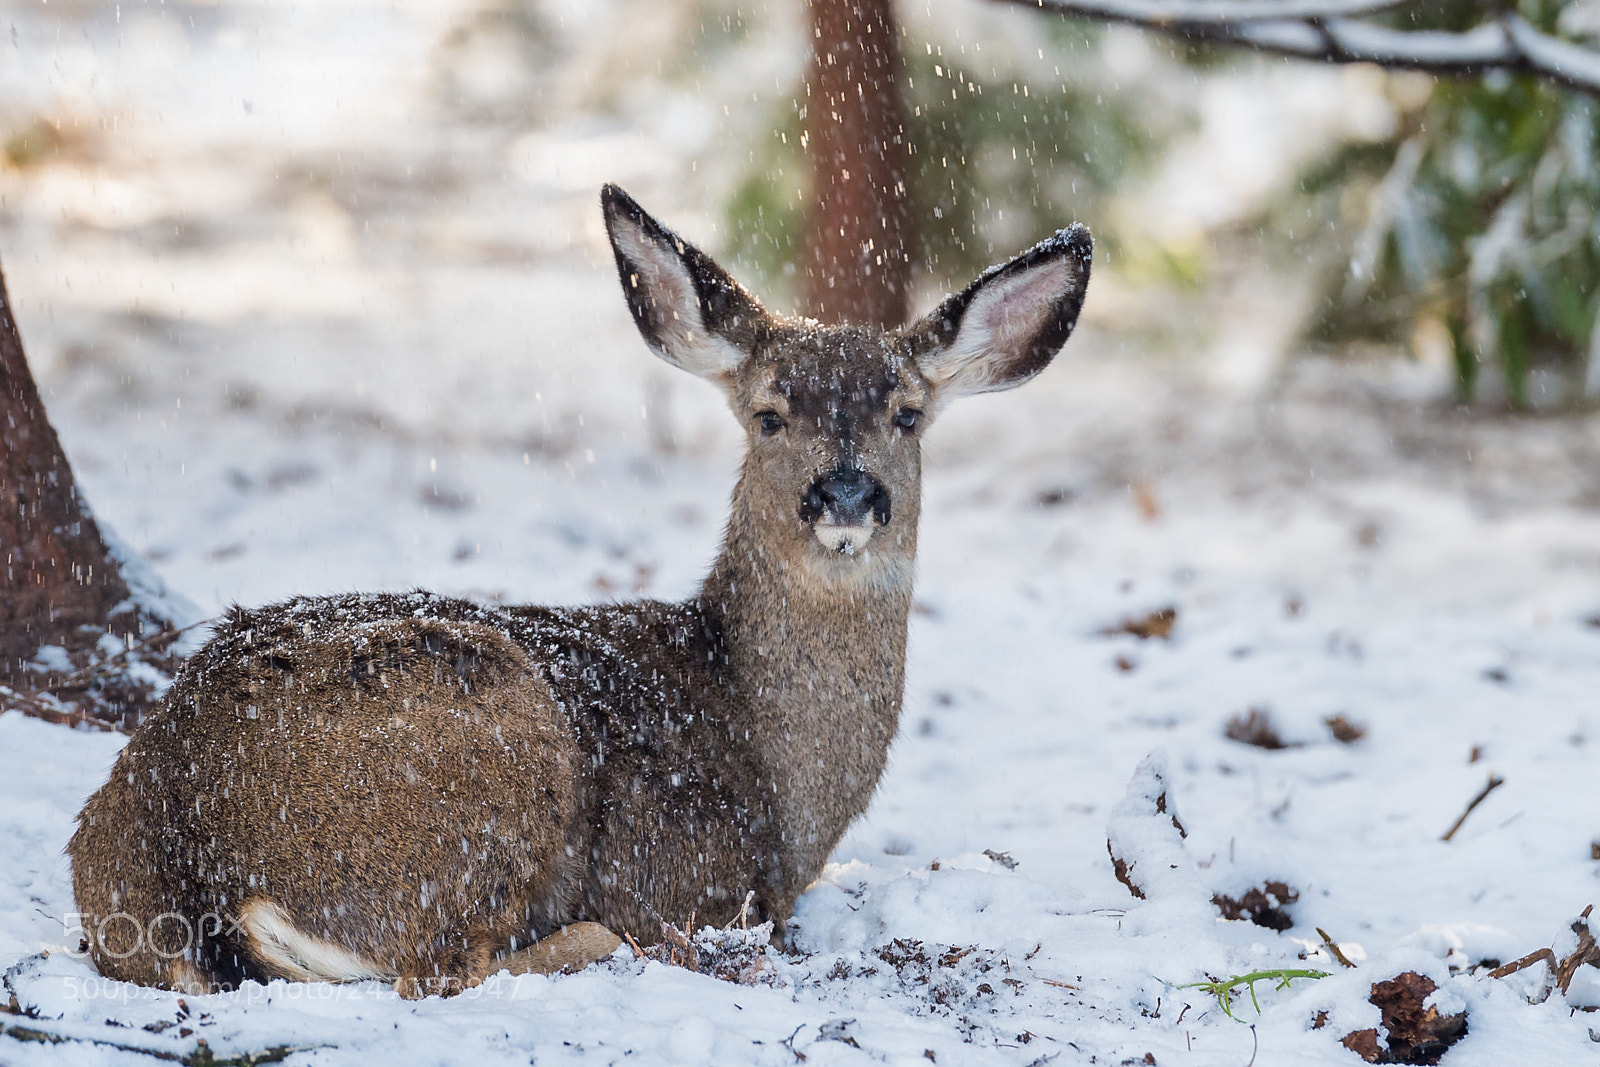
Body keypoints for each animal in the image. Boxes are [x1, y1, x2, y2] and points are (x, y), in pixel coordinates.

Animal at [68, 184, 1091, 998]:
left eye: (907, 414)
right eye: (770, 414)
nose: (844, 494)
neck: (772, 763)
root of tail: (185, 853)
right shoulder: (694, 875)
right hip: (486, 766)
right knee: (443, 966)